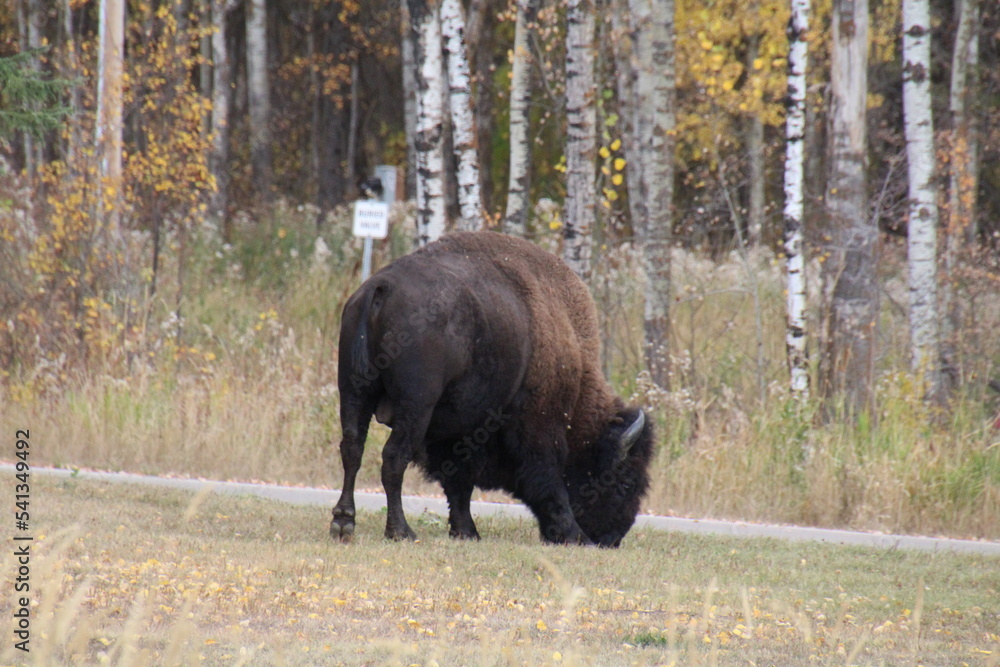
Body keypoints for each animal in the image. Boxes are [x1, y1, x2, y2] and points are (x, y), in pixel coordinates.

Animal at [330, 232, 656, 544]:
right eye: (625, 481)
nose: (612, 538)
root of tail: (381, 286)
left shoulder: (457, 432)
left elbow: (458, 482)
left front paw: (466, 531)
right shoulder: (540, 430)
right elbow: (548, 481)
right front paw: (575, 536)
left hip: (353, 392)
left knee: (352, 448)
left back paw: (343, 523)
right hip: (416, 407)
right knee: (394, 458)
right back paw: (400, 531)